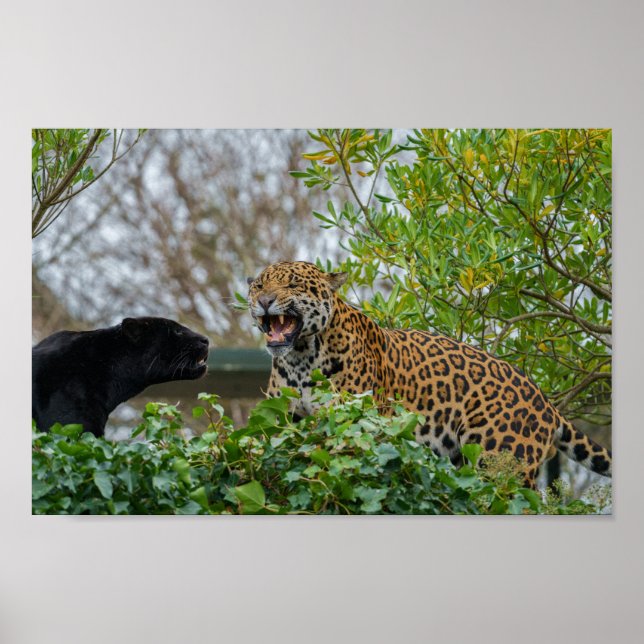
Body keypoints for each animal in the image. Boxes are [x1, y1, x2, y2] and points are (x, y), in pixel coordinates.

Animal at [247, 261, 612, 488]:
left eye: (293, 284)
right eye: (260, 285)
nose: (265, 300)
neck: (301, 357)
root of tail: (546, 403)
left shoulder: (354, 424)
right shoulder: (283, 419)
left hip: (500, 460)